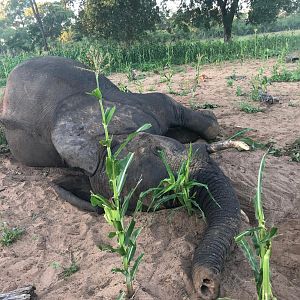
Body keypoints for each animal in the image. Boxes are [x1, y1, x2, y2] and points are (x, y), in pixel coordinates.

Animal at [1, 56, 241, 300]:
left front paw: (207, 126)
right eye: (163, 199)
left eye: (156, 149)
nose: (206, 284)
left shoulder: (138, 109)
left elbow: (178, 110)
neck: (96, 149)